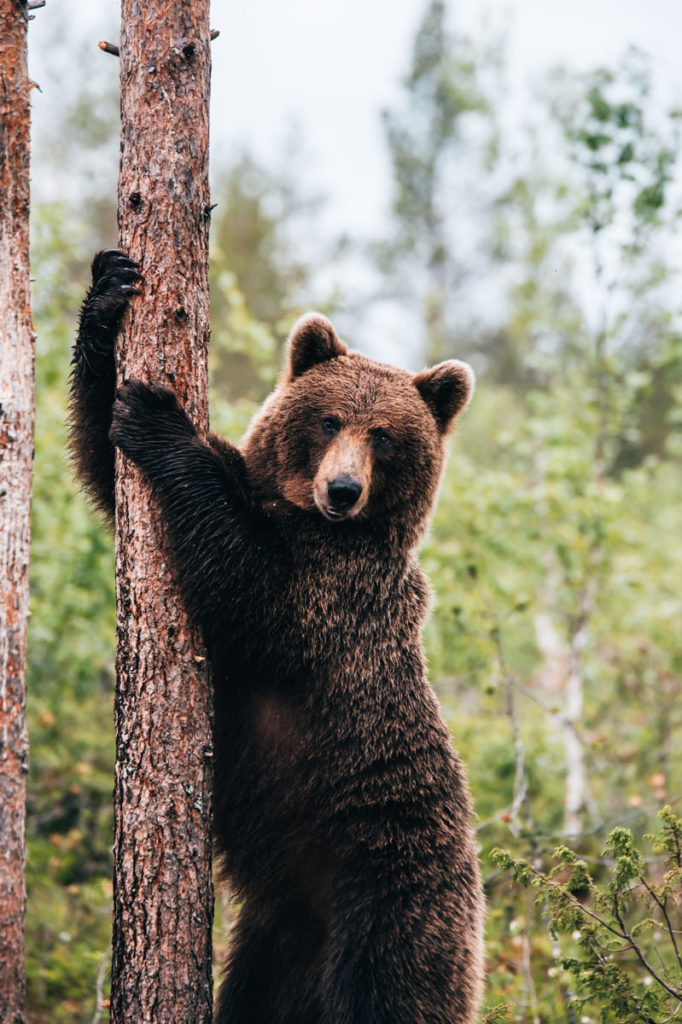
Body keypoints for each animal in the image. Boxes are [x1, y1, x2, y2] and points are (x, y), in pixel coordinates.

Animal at [69, 247, 483, 1024]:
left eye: (384, 436)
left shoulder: (341, 593)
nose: (344, 490)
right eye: (327, 420)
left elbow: (256, 592)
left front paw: (159, 417)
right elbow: (109, 469)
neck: (309, 518)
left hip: (391, 894)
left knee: (391, 988)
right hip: (274, 942)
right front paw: (109, 293)